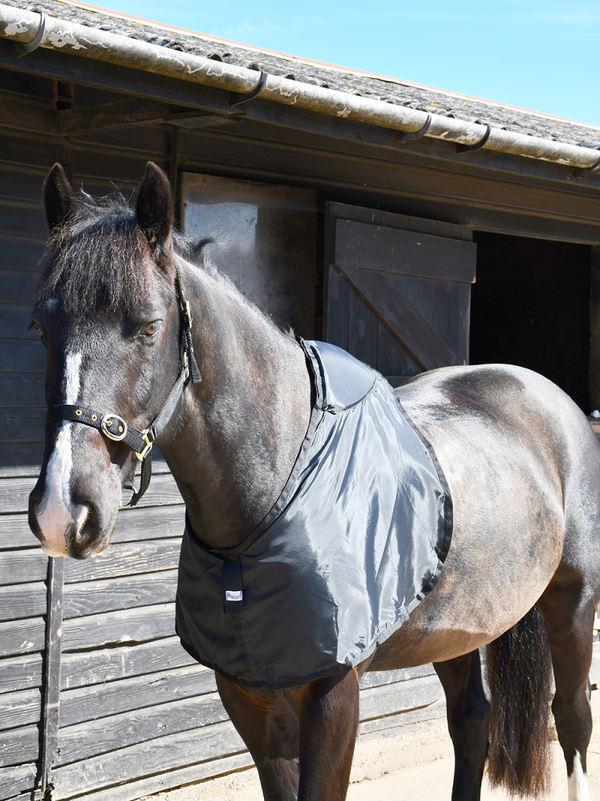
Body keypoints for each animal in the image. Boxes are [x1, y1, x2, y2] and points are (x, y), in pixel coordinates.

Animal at [28, 161, 600, 801]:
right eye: (41, 326)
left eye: (149, 328)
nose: (61, 510)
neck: (280, 485)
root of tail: (549, 399)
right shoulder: (248, 696)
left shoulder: (333, 694)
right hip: (455, 624)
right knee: (472, 721)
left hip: (574, 601)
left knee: (572, 719)